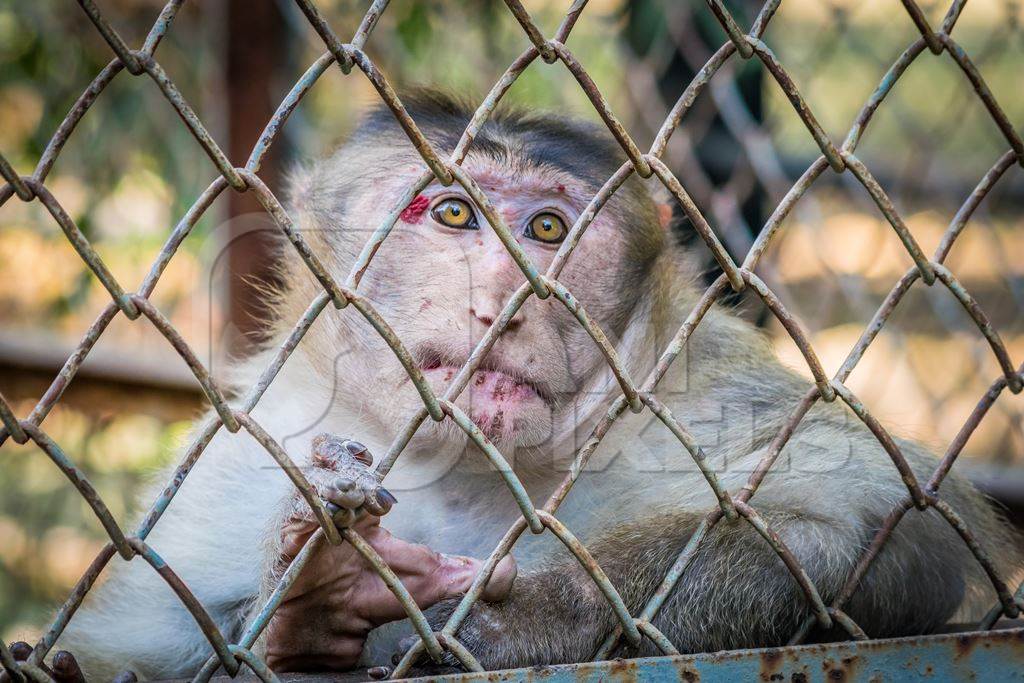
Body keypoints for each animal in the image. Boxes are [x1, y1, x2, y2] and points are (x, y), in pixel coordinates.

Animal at [49, 89, 1024, 679]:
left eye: (550, 229)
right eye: (452, 212)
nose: (507, 298)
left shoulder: (698, 385)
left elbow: (889, 517)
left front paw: (530, 613)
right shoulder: (244, 448)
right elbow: (114, 653)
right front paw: (309, 605)